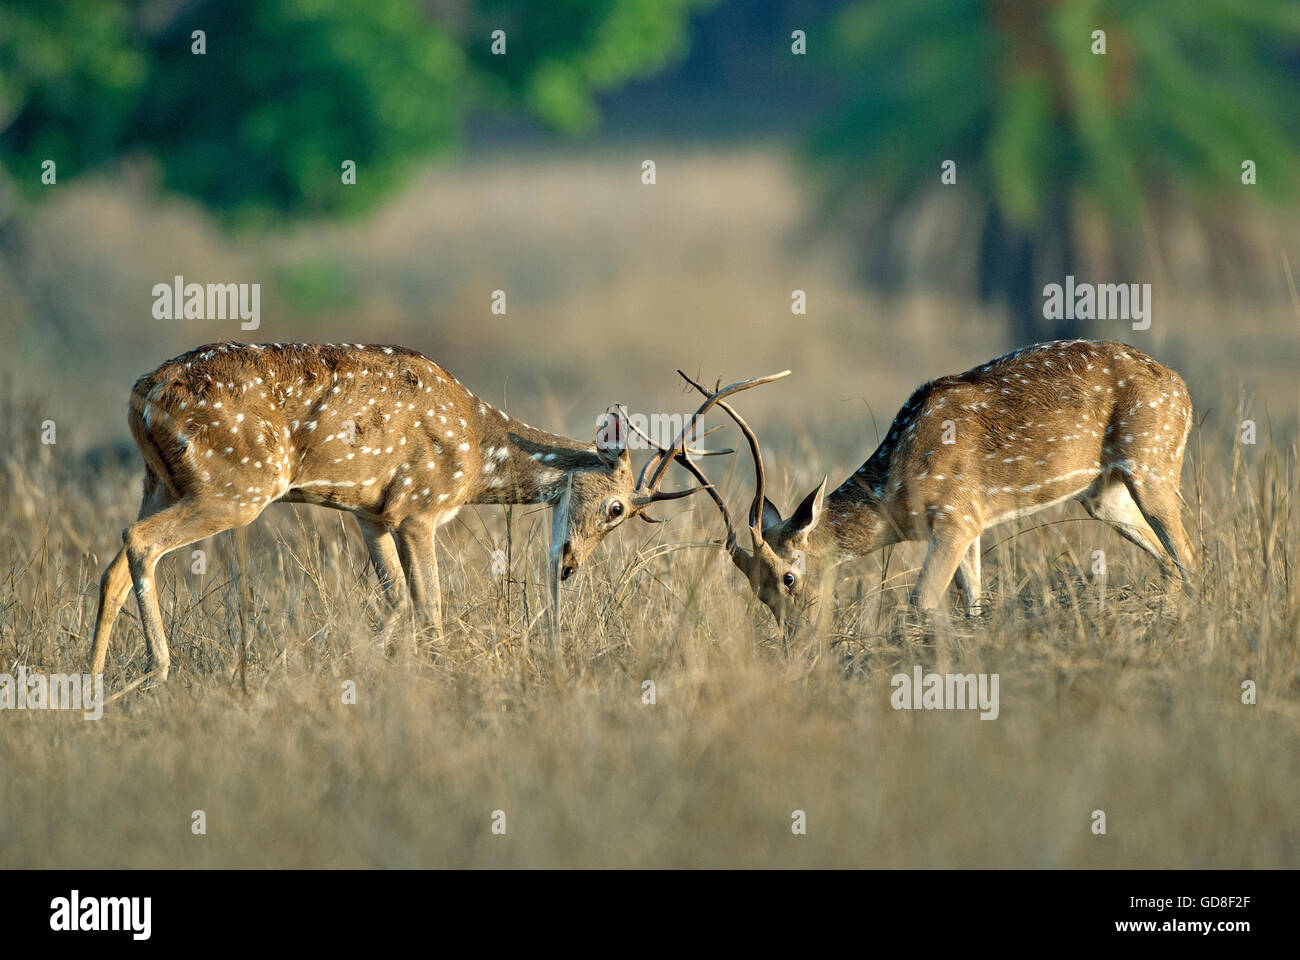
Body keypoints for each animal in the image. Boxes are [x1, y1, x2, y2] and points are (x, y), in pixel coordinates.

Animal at [90, 340, 785, 680]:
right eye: (615, 507)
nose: (567, 565)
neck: (478, 454)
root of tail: (140, 395)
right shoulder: (420, 509)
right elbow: (432, 607)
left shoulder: (371, 513)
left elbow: (397, 601)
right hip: (235, 485)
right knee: (140, 541)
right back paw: (156, 671)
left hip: (163, 480)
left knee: (115, 560)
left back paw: (94, 684)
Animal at [679, 340, 1197, 628]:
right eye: (754, 587)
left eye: (788, 577)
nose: (796, 633)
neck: (896, 490)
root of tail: (1184, 389)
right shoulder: (973, 524)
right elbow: (973, 603)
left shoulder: (954, 517)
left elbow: (921, 601)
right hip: (1102, 493)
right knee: (1169, 558)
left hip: (1154, 463)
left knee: (1189, 553)